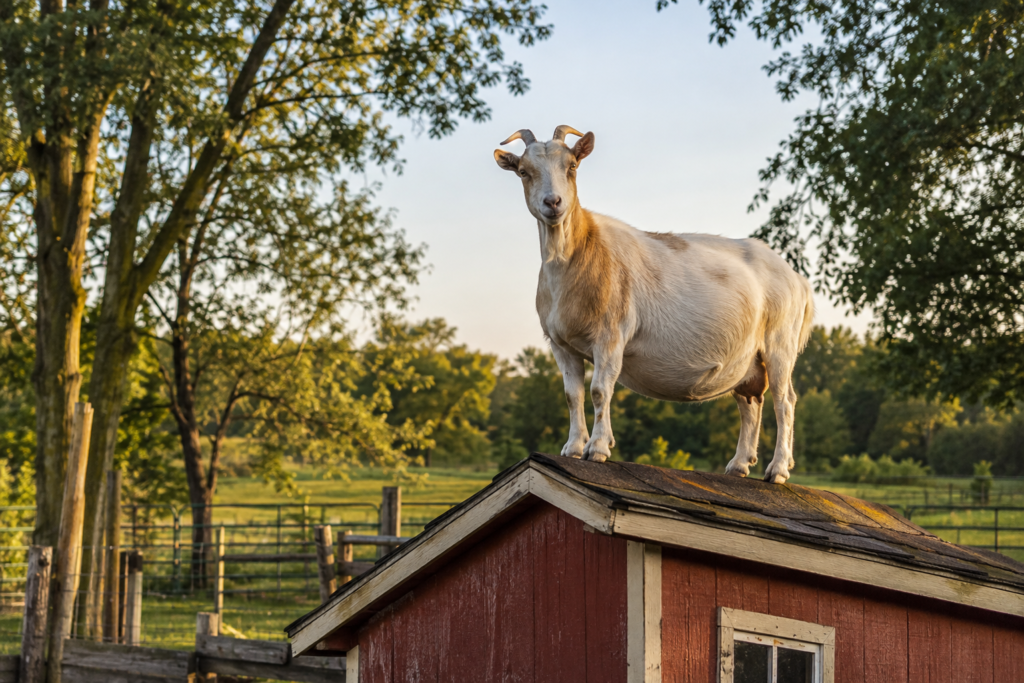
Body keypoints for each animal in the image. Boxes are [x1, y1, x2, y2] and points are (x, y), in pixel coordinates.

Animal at [493, 126, 814, 483]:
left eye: (572, 166)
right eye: (524, 172)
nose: (553, 203)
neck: (577, 254)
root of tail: (796, 278)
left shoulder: (611, 335)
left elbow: (599, 390)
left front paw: (598, 449)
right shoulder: (561, 344)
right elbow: (572, 395)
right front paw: (573, 448)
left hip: (780, 342)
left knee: (784, 401)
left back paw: (778, 469)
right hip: (748, 360)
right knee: (750, 403)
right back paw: (739, 465)